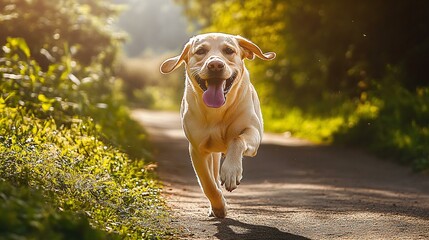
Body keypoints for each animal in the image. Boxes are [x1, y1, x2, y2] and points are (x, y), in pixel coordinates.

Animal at [160, 32, 274, 218]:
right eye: (201, 51)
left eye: (229, 50)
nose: (215, 65)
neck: (217, 111)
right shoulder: (197, 150)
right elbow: (207, 184)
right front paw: (219, 207)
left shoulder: (253, 132)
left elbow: (237, 139)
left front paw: (231, 171)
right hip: (212, 154)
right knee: (212, 175)